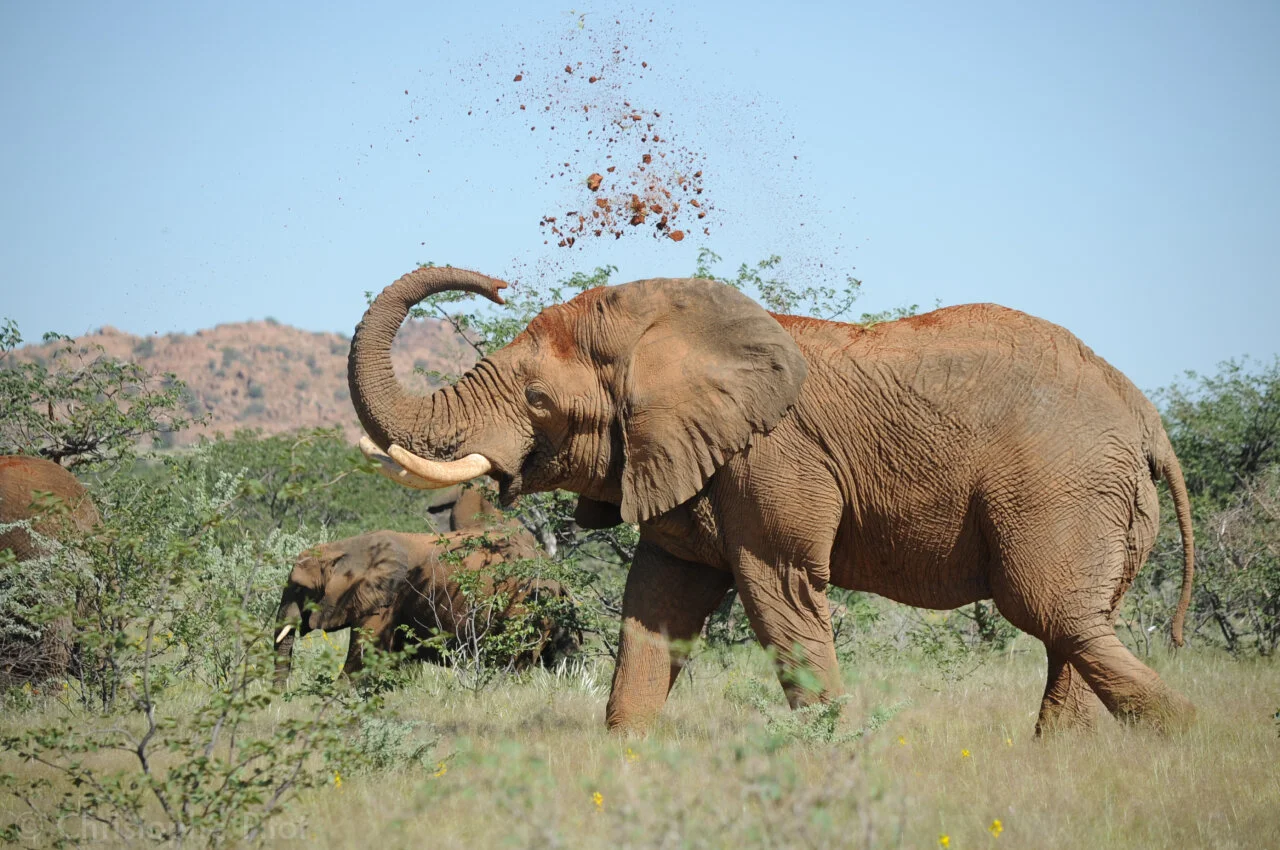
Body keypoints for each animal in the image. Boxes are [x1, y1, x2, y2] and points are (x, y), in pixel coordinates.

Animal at [272, 527, 579, 685]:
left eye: (299, 588)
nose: (283, 700)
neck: (342, 548)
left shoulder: (385, 597)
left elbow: (365, 651)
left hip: (525, 607)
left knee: (514, 662)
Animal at [345, 267, 1197, 735]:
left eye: (537, 400)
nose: (494, 284)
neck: (668, 328)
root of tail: (1148, 419)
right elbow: (658, 602)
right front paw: (625, 757)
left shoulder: (770, 461)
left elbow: (778, 594)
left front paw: (838, 755)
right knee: (1076, 626)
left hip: (1063, 487)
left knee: (1051, 612)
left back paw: (1186, 737)